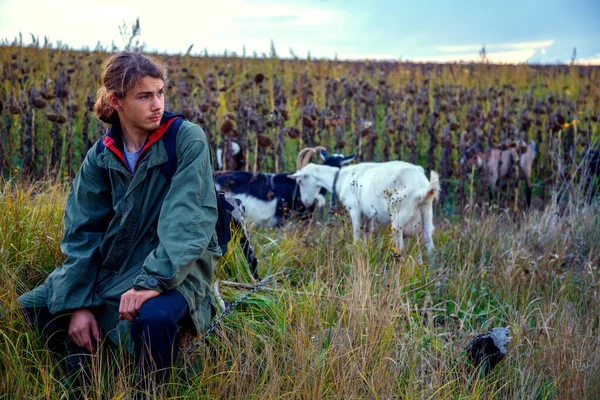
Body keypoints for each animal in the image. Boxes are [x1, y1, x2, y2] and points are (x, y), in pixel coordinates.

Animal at [288, 161, 438, 255]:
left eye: (299, 181)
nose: (306, 202)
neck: (342, 177)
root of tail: (422, 185)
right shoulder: (368, 215)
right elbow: (367, 233)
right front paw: (366, 251)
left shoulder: (355, 209)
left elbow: (357, 233)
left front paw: (355, 250)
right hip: (427, 209)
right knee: (429, 242)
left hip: (398, 213)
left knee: (400, 246)